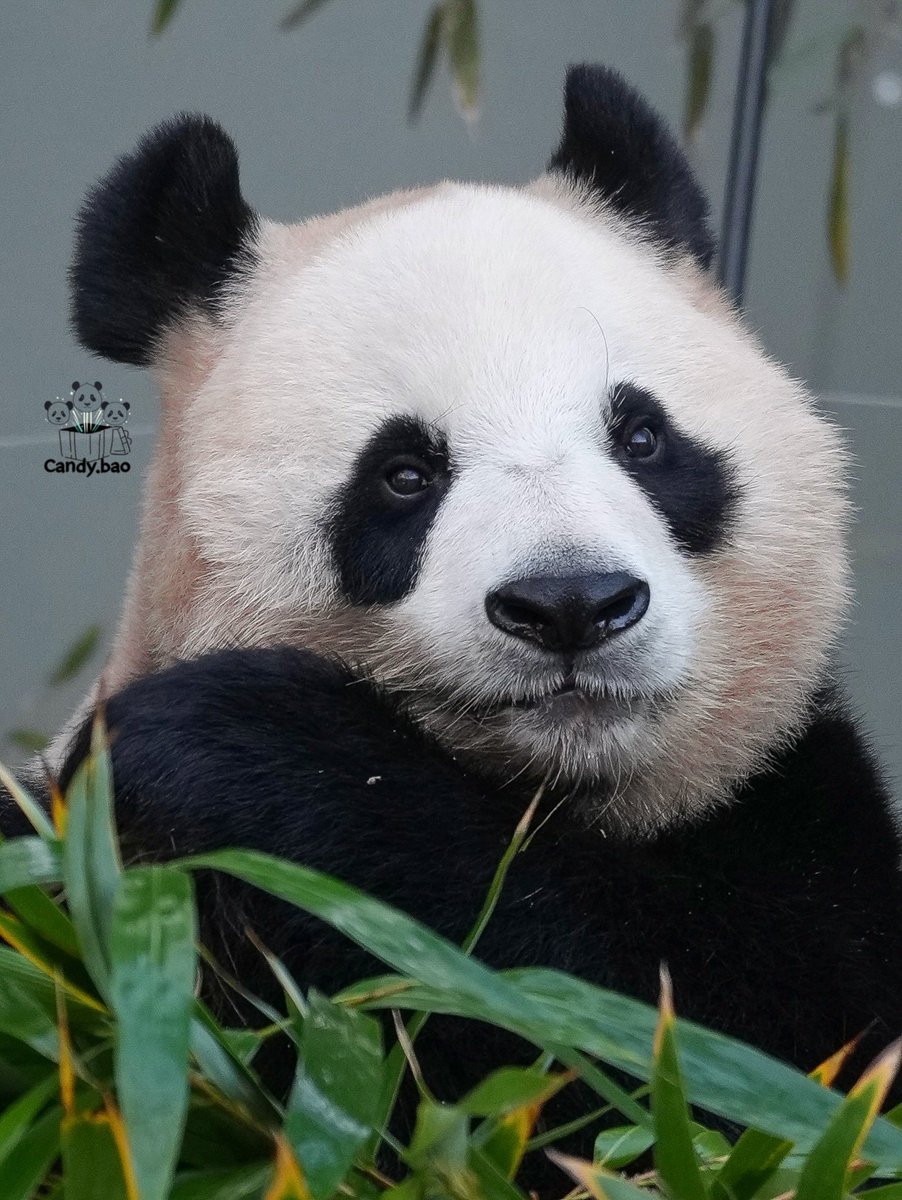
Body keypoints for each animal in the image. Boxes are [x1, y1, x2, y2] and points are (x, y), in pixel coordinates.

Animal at [9, 63, 902, 1169]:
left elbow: (743, 1052)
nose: (571, 604)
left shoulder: (798, 803)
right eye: (404, 474)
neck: (549, 797)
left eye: (642, 438)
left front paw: (230, 740)